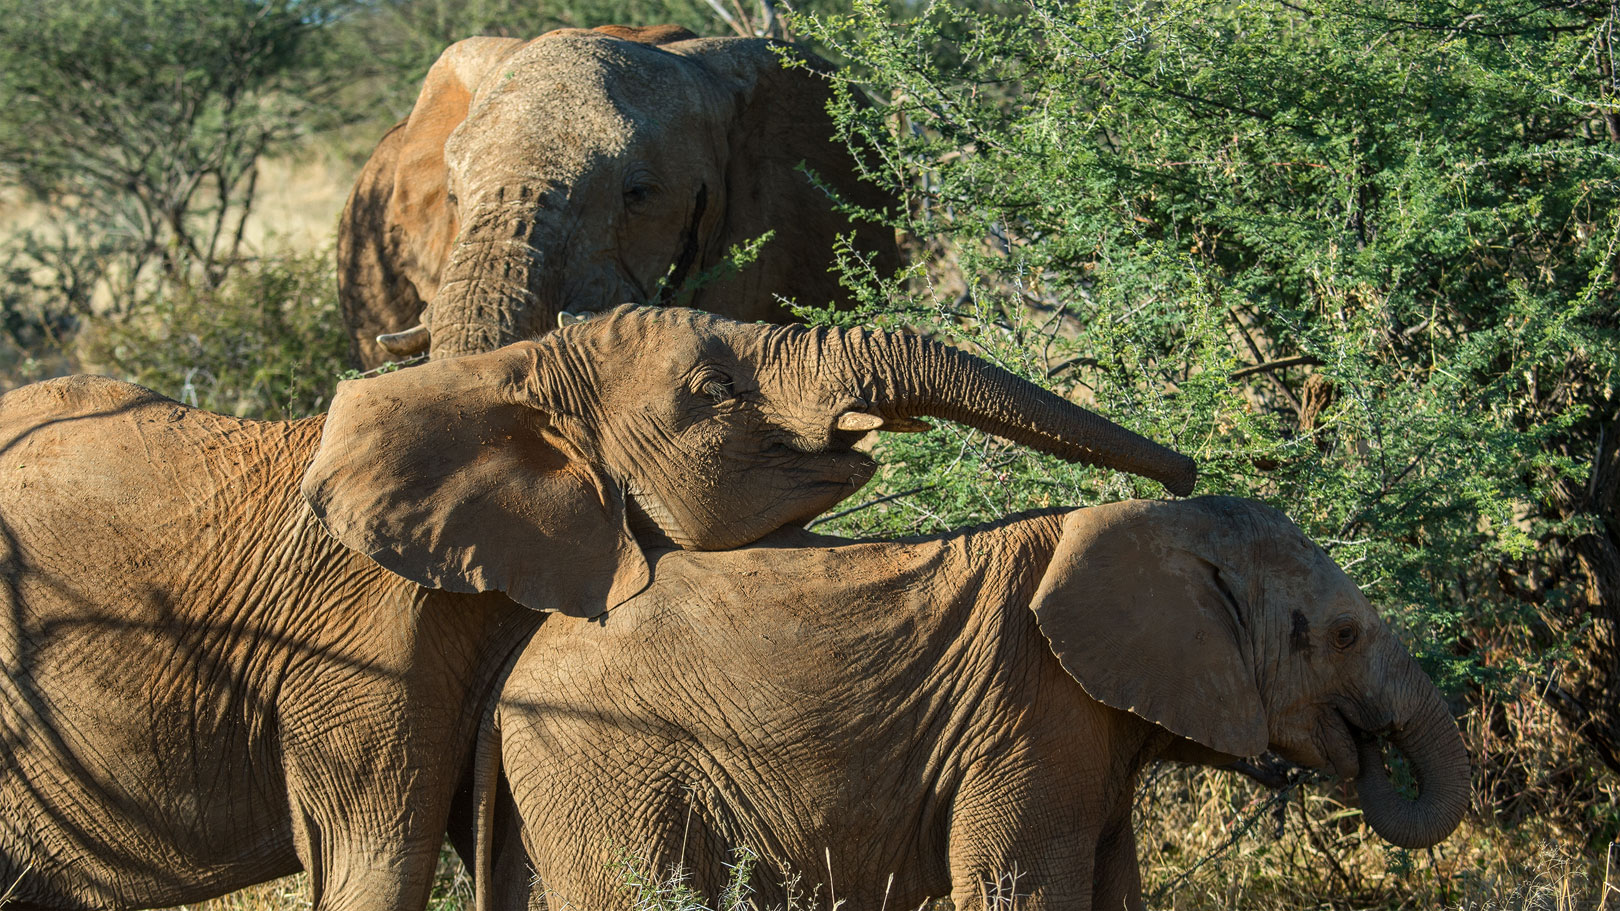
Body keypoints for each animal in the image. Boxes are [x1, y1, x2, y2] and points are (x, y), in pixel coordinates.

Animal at [479, 496, 1470, 907]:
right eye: (1341, 634)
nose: (1367, 748)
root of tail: (510, 672)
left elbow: (1112, 888)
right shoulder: (1033, 710)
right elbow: (1018, 884)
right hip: (605, 769)